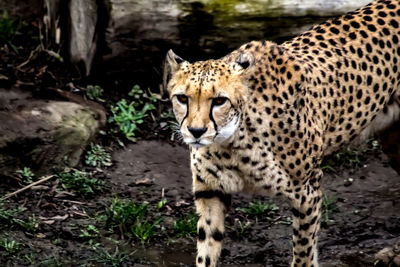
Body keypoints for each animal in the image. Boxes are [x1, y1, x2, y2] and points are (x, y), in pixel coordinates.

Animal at [162, 1, 400, 266]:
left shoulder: (308, 190)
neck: (232, 141)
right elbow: (207, 249)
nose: (195, 131)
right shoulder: (211, 191)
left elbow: (304, 251)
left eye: (219, 100)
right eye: (183, 98)